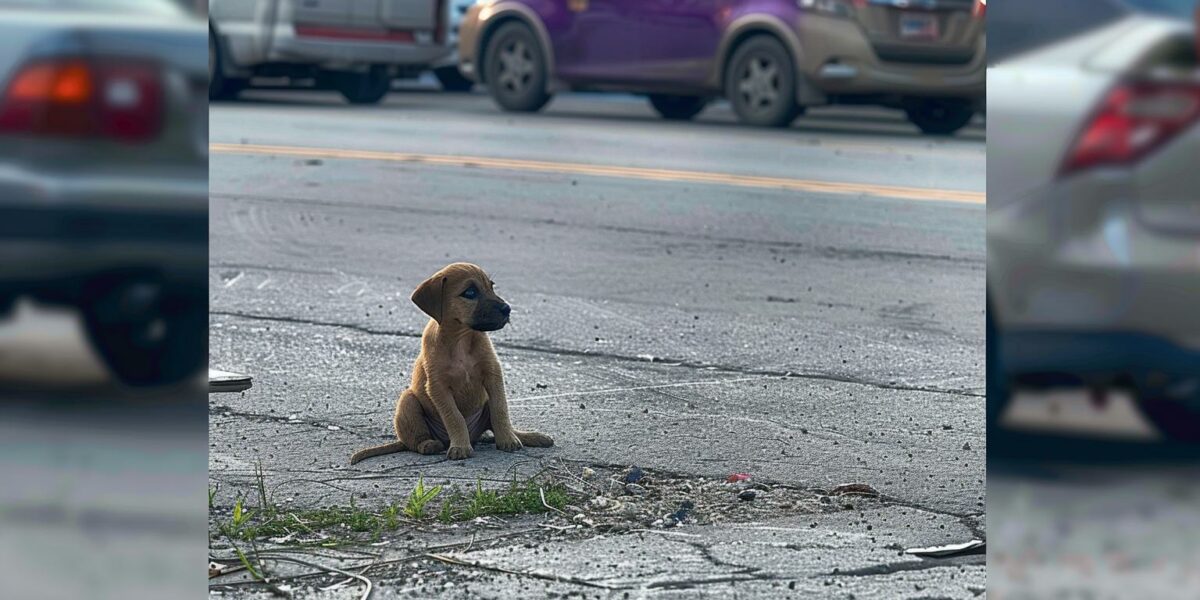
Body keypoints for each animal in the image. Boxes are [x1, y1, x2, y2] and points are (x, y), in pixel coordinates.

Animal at [350, 262, 549, 463]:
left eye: (491, 287)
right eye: (470, 293)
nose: (507, 309)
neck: (461, 339)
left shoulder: (493, 375)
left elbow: (500, 410)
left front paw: (508, 439)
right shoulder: (437, 387)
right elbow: (455, 417)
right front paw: (460, 446)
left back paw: (529, 436)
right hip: (408, 401)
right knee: (414, 441)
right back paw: (430, 444)